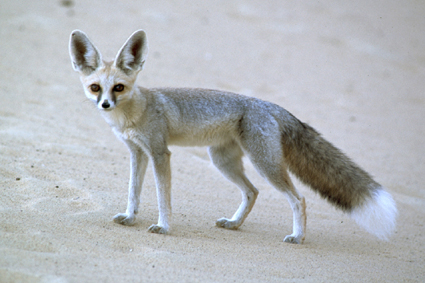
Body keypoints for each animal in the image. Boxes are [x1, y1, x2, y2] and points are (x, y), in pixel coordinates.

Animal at [68, 30, 396, 245]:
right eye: (96, 87)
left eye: (119, 87)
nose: (105, 105)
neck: (137, 111)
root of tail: (271, 105)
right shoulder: (137, 153)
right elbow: (133, 192)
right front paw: (130, 217)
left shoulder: (160, 154)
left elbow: (163, 197)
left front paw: (163, 226)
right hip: (222, 161)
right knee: (252, 192)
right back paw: (235, 223)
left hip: (264, 164)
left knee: (298, 198)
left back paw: (298, 236)